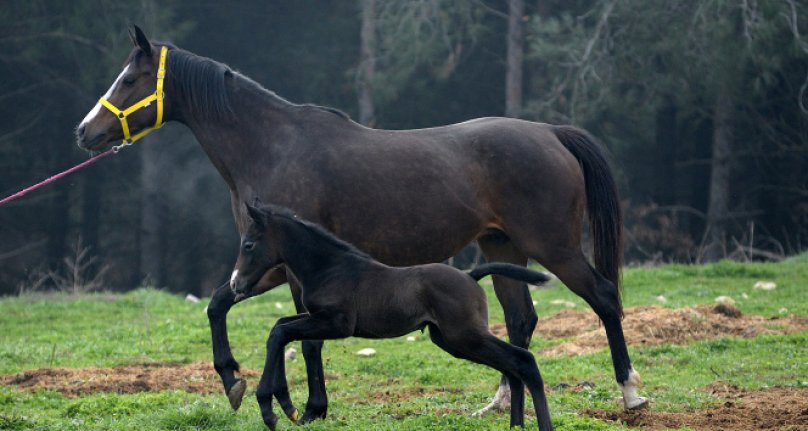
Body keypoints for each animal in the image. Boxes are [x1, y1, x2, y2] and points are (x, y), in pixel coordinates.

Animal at [229, 202, 556, 431]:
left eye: (249, 244)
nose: (235, 284)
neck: (330, 268)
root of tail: (470, 274)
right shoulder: (317, 318)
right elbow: (280, 328)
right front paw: (286, 406)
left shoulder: (337, 322)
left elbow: (279, 332)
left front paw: (271, 409)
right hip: (453, 340)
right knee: (512, 367)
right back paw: (516, 425)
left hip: (465, 335)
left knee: (523, 361)